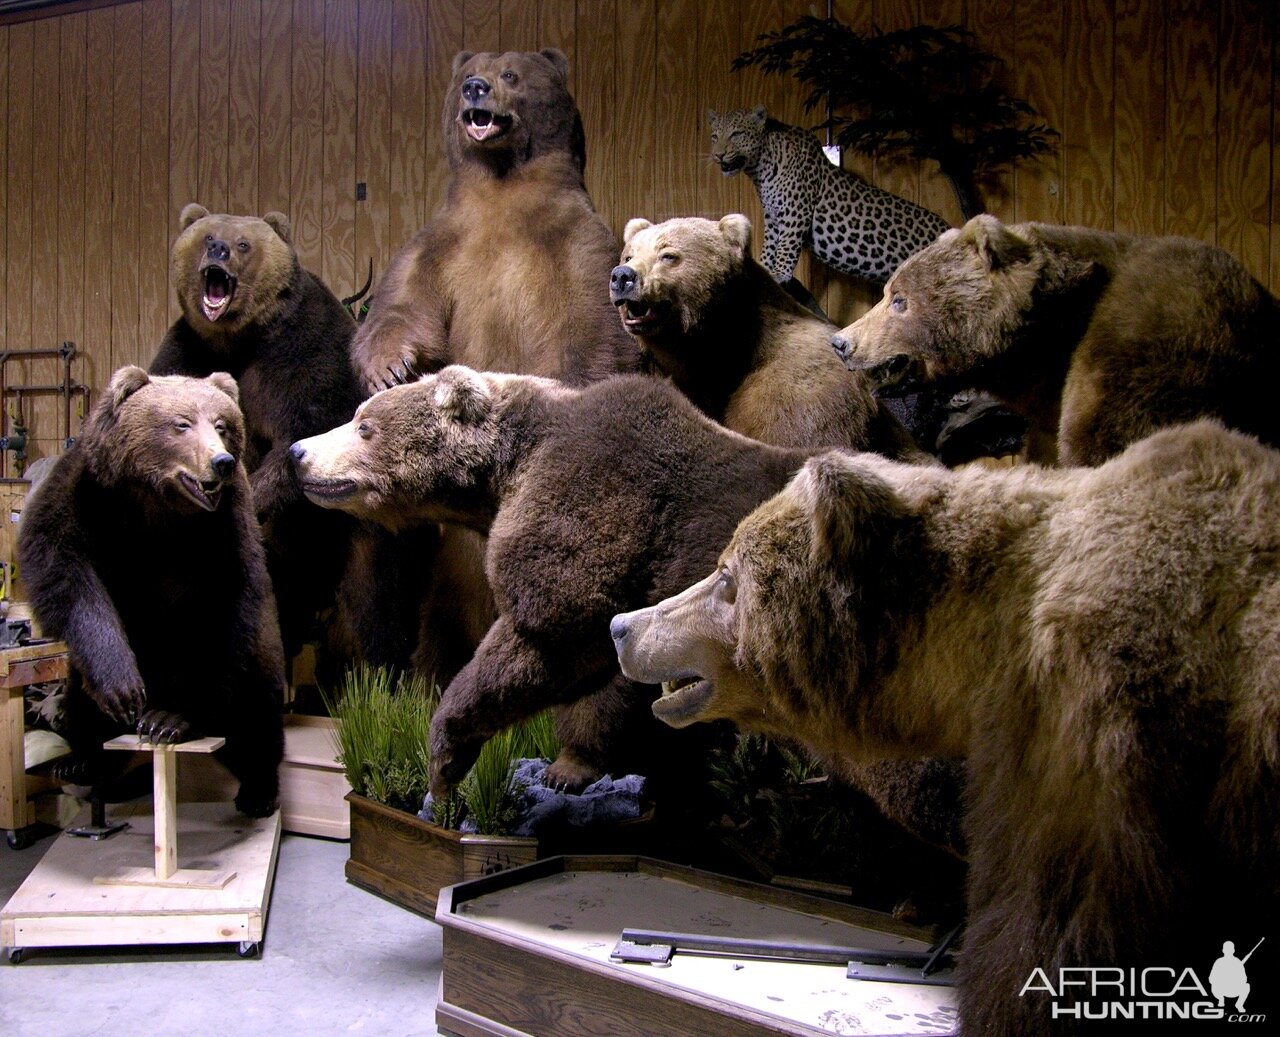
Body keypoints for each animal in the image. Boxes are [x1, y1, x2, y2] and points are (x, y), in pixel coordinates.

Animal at [20, 368, 285, 814]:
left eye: (222, 425)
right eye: (181, 424)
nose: (222, 461)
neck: (157, 503)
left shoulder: (225, 527)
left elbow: (226, 605)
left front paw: (171, 719)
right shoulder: (88, 489)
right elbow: (62, 566)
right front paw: (123, 689)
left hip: (255, 659)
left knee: (256, 710)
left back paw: (257, 789)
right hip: (85, 673)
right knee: (80, 701)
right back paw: (82, 762)